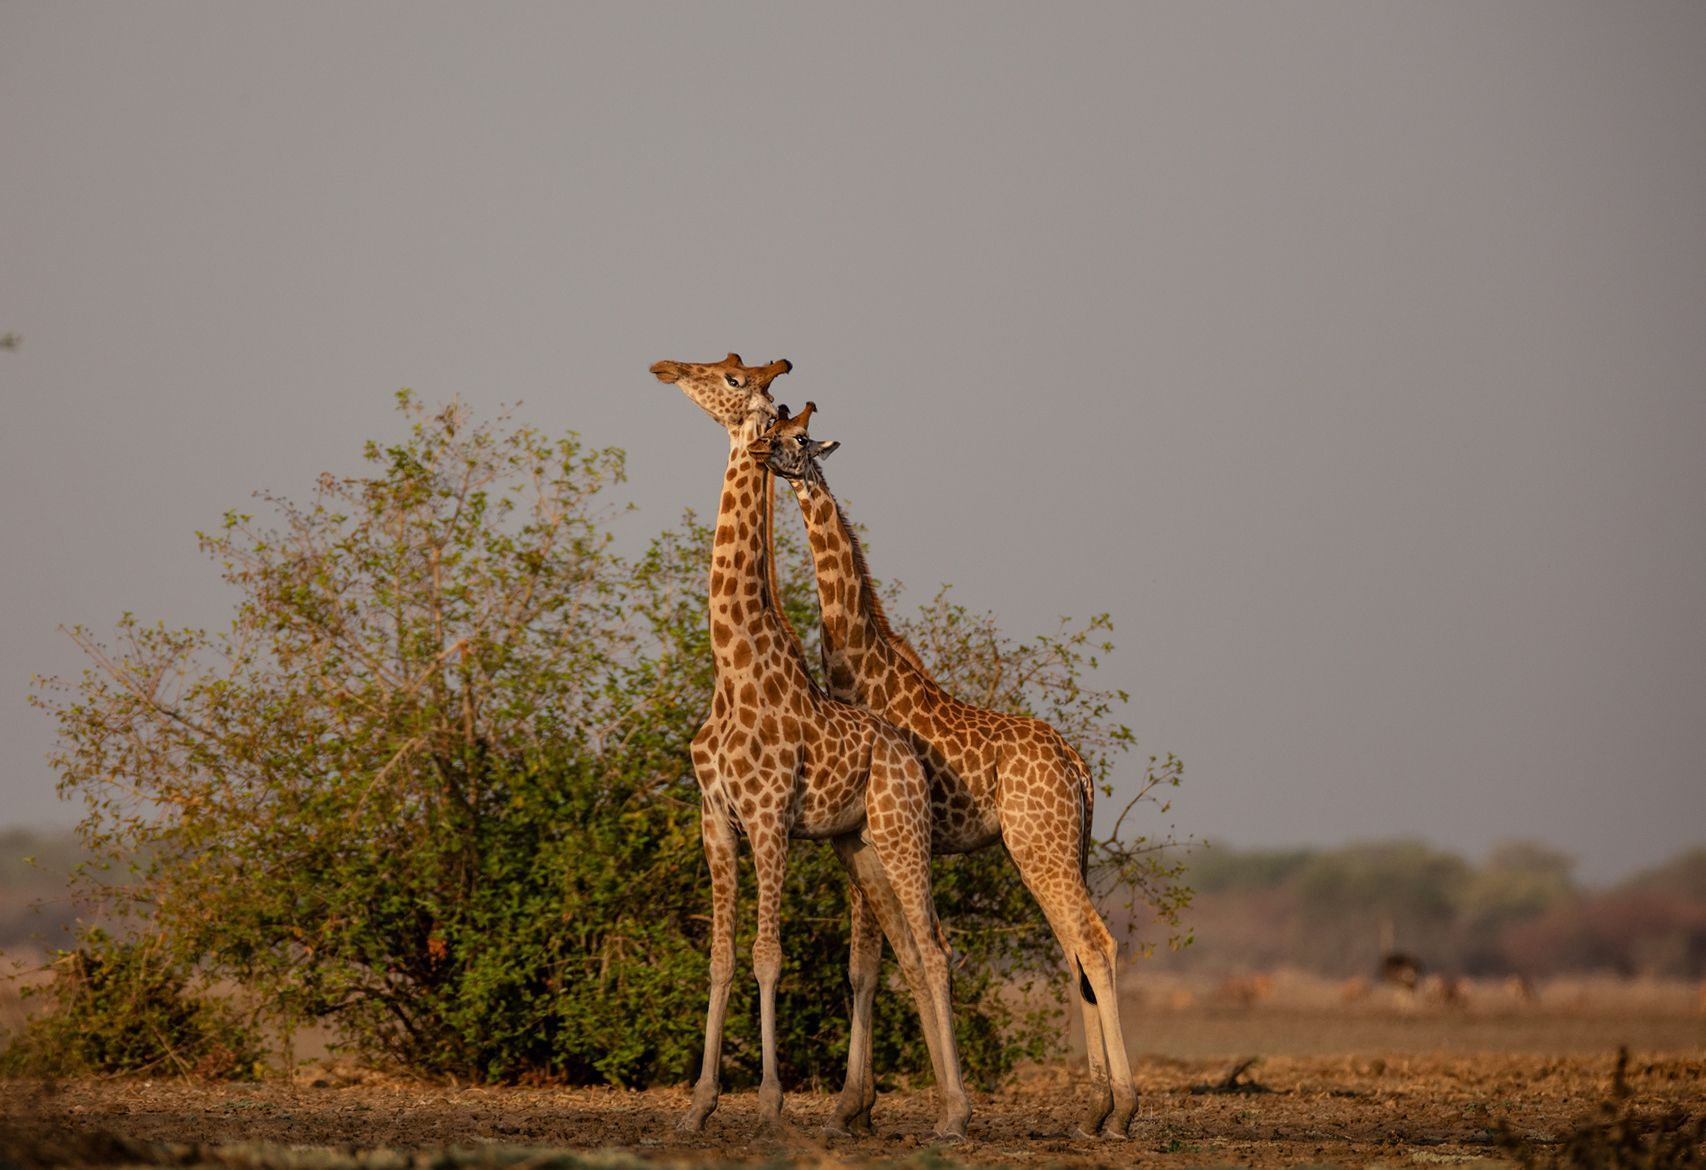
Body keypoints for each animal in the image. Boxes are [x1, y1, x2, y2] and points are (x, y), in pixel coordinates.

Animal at [644, 358, 975, 1146]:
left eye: (733, 379)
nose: (665, 368)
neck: (733, 673)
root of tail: (911, 757)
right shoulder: (716, 821)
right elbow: (720, 958)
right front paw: (697, 1107)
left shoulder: (770, 821)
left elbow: (768, 956)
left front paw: (769, 1104)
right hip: (860, 847)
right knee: (906, 953)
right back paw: (902, 1108)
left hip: (903, 834)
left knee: (937, 948)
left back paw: (955, 1116)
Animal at [754, 407, 1139, 1139]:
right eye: (774, 426)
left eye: (798, 438)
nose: (762, 451)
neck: (857, 664)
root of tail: (1080, 769)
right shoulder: (865, 837)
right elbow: (870, 967)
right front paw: (863, 1108)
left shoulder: (874, 831)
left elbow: (874, 964)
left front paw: (860, 1108)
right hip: (1053, 849)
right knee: (1075, 950)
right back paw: (1095, 1108)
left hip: (1038, 845)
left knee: (1096, 943)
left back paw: (1123, 1111)